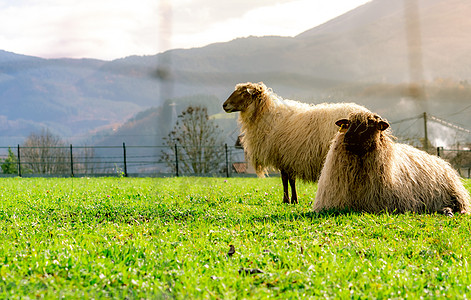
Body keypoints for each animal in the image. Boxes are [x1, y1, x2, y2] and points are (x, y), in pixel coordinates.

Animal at [223, 82, 370, 204]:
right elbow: (291, 180)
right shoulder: (289, 157)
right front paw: (294, 200)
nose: (224, 105)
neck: (267, 116)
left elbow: (285, 179)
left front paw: (286, 200)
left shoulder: (283, 155)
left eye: (243, 93)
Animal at [314, 110, 471, 216]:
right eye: (348, 124)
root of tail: (441, 161)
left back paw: (449, 211)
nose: (348, 137)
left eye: (371, 124)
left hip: (455, 193)